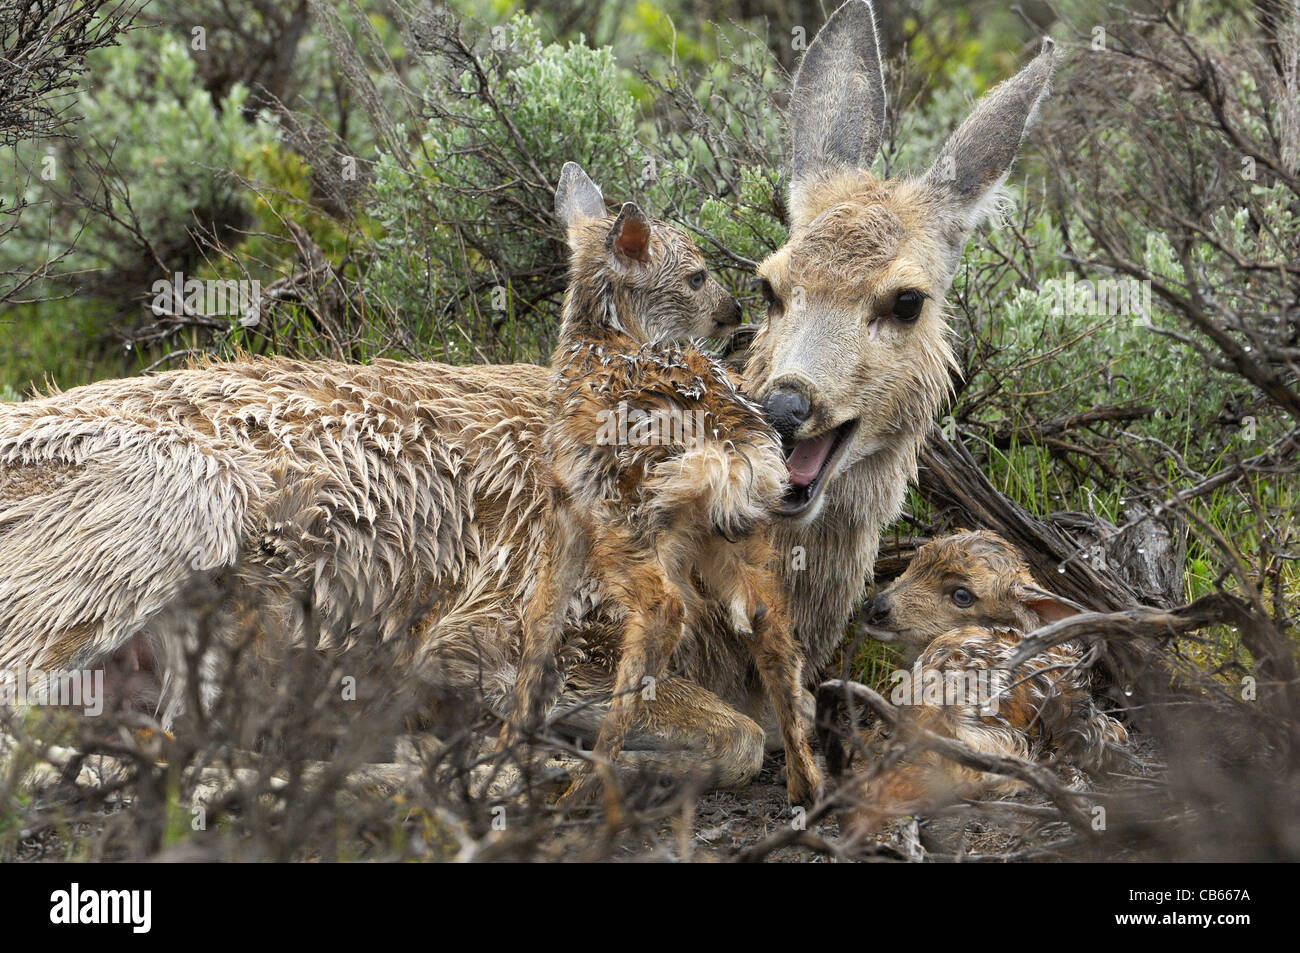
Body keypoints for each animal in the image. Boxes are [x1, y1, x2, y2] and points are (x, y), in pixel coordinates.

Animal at [502, 162, 820, 805]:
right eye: (697, 276)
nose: (732, 311)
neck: (599, 340)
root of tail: (727, 446)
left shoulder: (565, 503)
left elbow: (541, 620)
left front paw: (508, 745)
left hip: (626, 518)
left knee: (662, 613)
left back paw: (586, 786)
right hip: (735, 533)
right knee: (771, 622)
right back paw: (806, 783)